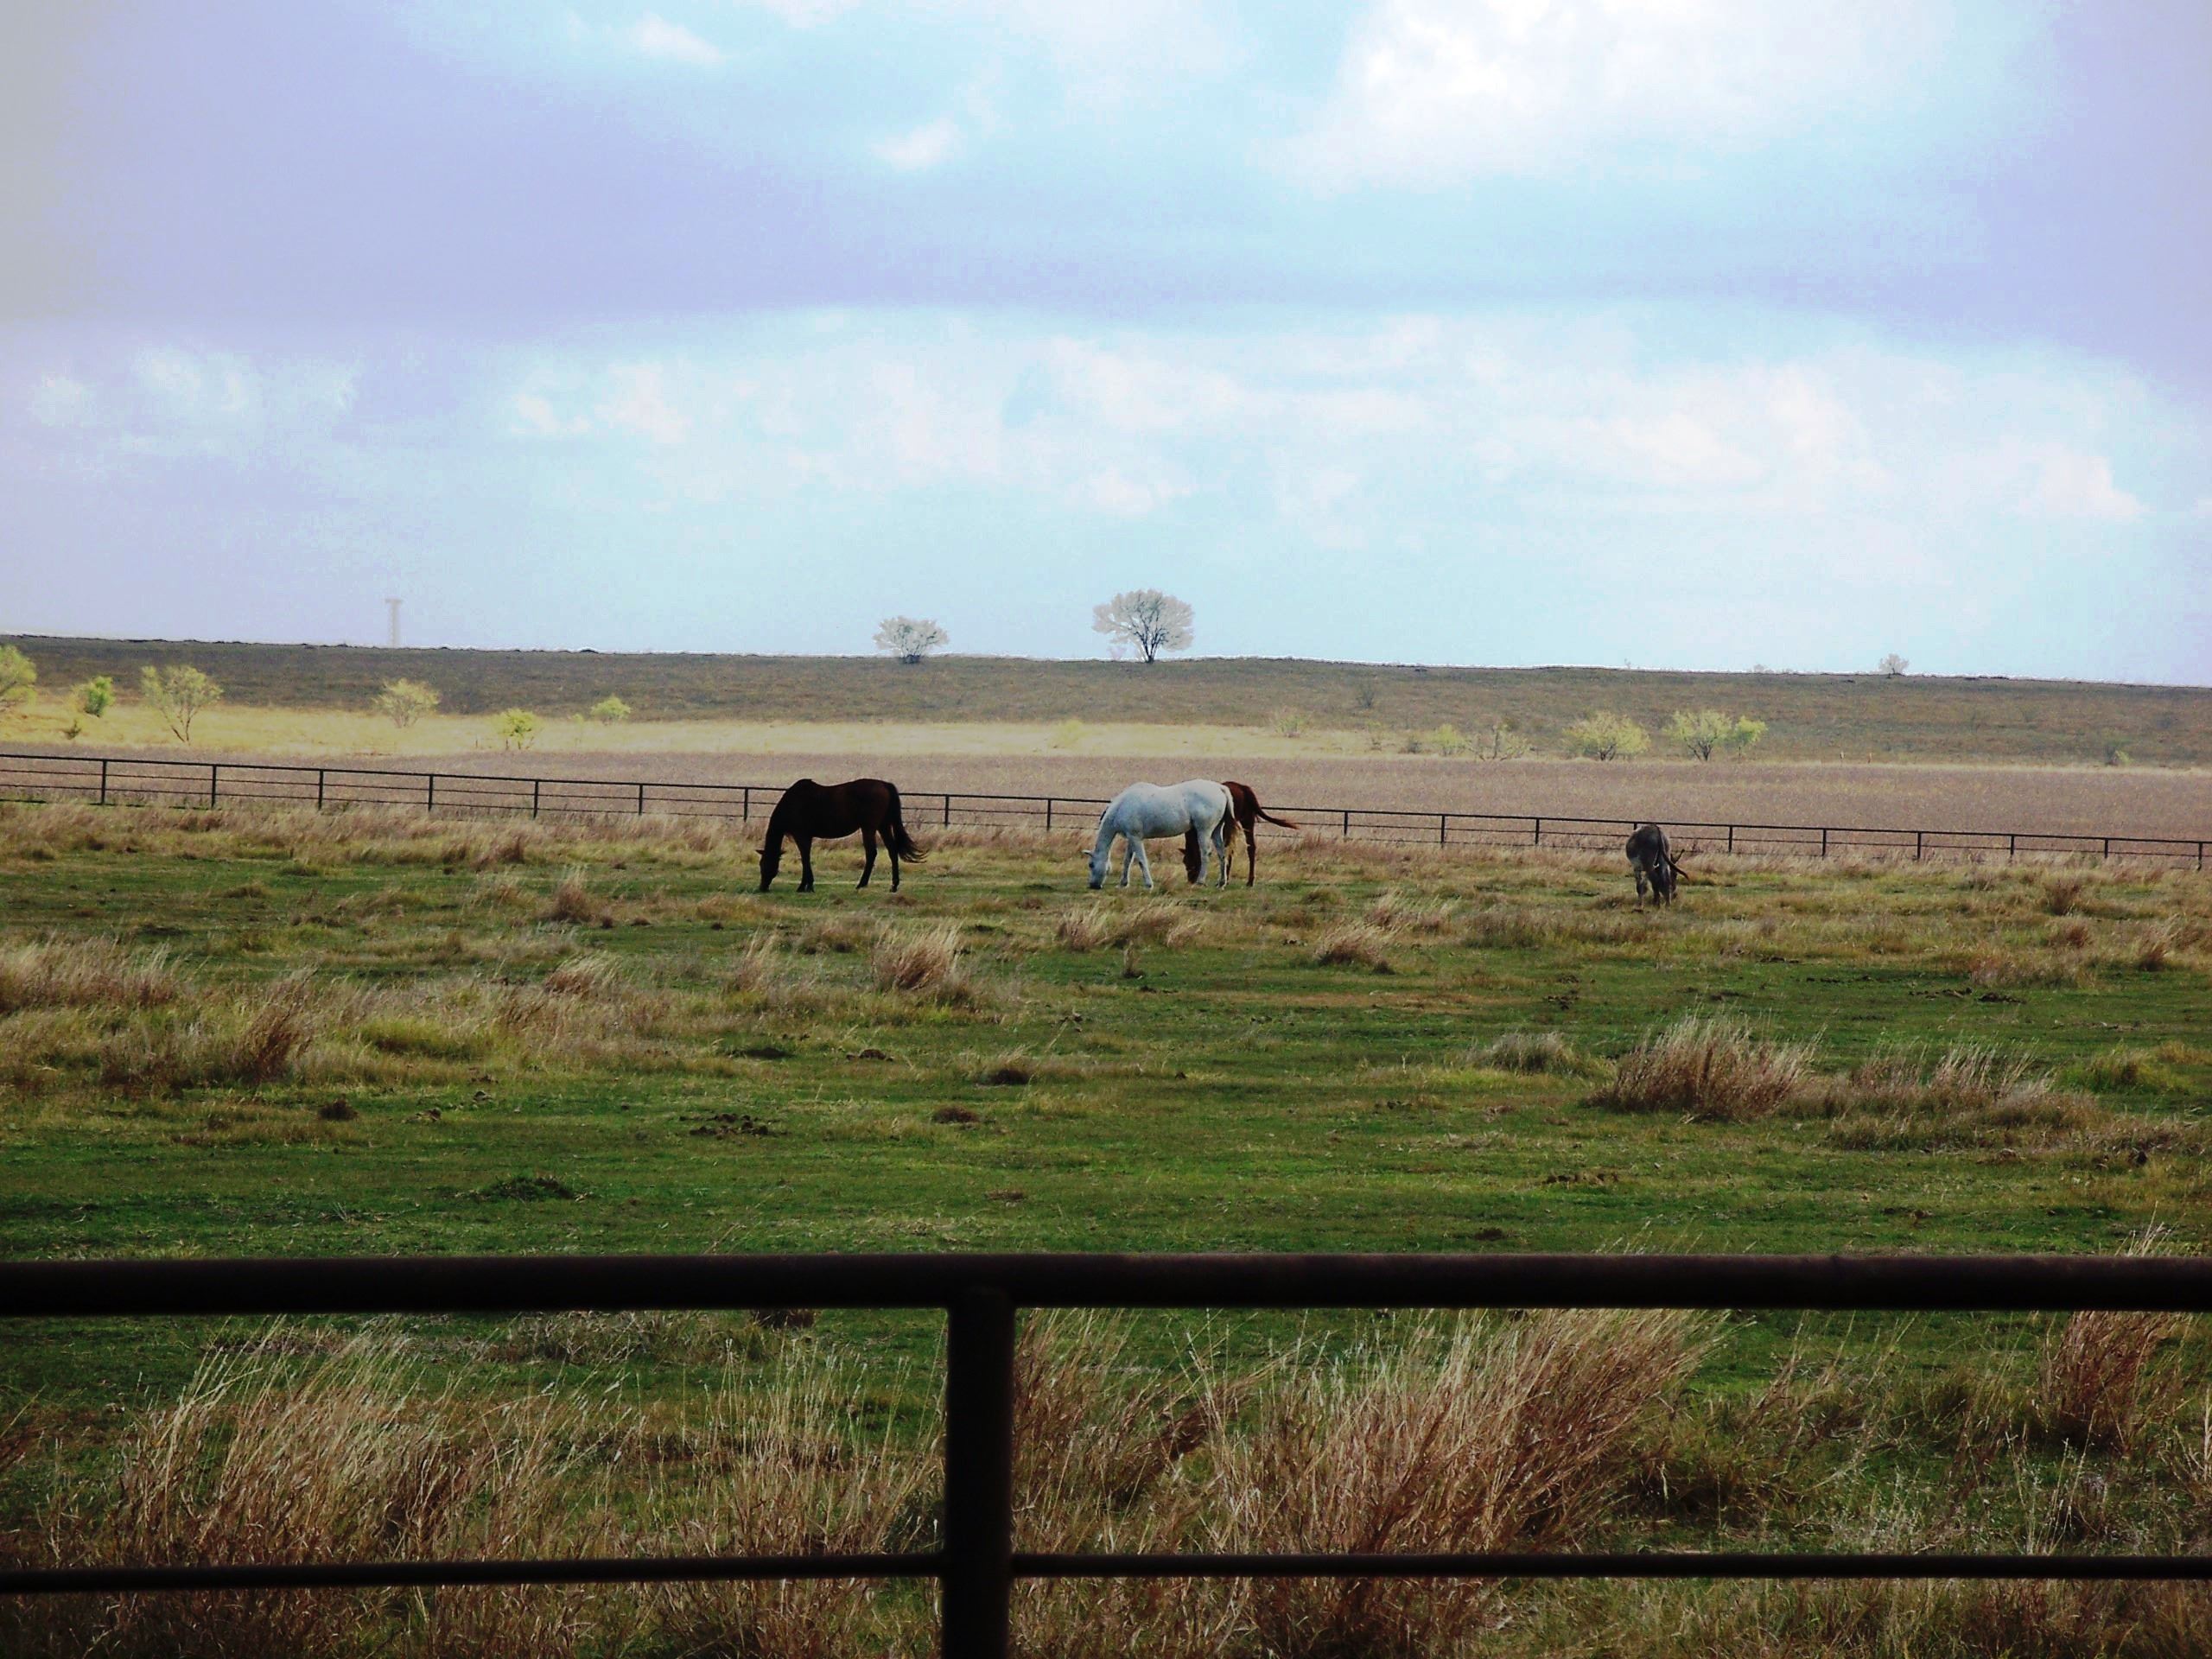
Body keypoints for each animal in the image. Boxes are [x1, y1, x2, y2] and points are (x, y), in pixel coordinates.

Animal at [758, 778, 924, 893]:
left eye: (763, 864)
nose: (762, 887)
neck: (792, 803)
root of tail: (884, 784)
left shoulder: (801, 836)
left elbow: (805, 858)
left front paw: (805, 886)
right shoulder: (807, 837)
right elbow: (807, 857)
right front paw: (807, 885)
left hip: (869, 828)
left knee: (871, 853)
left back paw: (861, 884)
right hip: (883, 826)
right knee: (892, 851)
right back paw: (893, 885)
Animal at [1089, 780, 1233, 891]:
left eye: (1091, 865)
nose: (1093, 885)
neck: (1122, 806)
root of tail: (1219, 788)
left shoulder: (1136, 838)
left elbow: (1141, 861)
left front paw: (1148, 884)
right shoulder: (1131, 838)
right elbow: (1127, 861)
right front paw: (1123, 884)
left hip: (1204, 830)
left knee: (1205, 854)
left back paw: (1200, 881)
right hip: (1215, 831)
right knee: (1222, 853)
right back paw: (1221, 883)